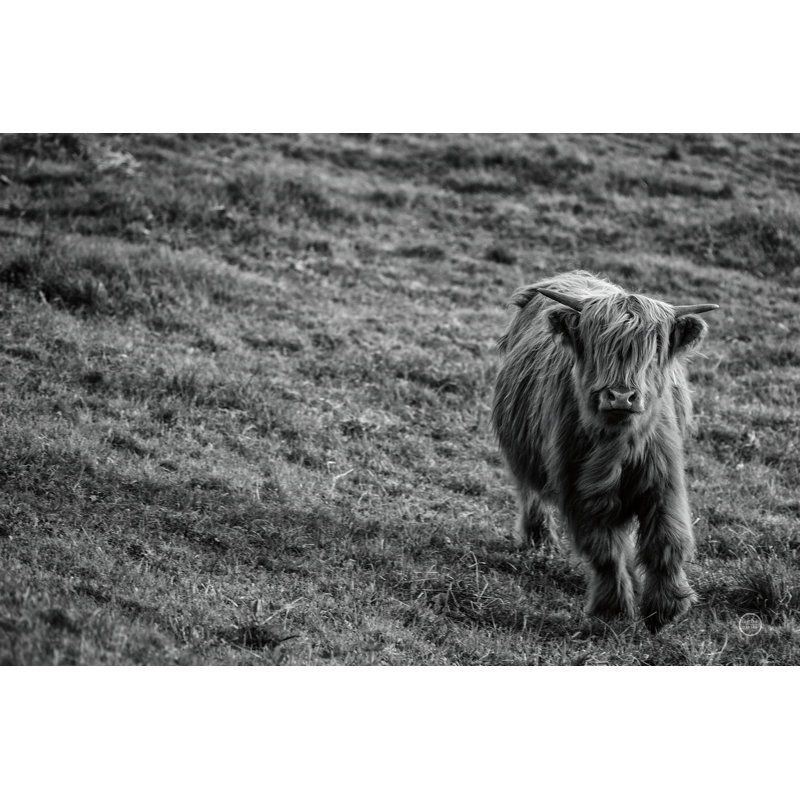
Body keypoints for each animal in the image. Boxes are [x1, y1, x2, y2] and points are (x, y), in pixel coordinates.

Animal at [491, 270, 718, 632]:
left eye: (654, 347)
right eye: (597, 342)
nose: (621, 396)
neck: (617, 446)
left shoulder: (664, 483)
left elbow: (667, 540)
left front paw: (666, 607)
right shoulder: (580, 491)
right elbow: (605, 551)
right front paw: (613, 610)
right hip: (523, 449)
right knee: (530, 490)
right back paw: (539, 541)